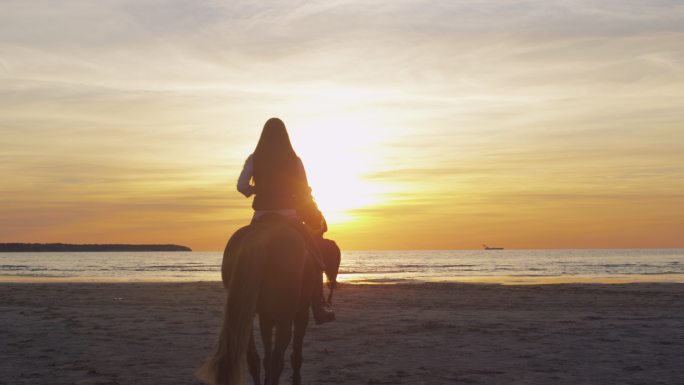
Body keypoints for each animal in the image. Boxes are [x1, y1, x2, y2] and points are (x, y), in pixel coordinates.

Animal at [198, 216, 340, 384]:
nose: (333, 282)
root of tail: (261, 234)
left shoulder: (266, 316)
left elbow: (267, 355)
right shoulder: (301, 313)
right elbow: (295, 356)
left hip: (245, 315)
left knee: (253, 358)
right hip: (285, 316)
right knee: (277, 358)